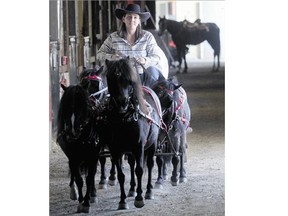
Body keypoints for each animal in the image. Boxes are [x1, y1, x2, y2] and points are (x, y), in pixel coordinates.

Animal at [56, 84, 100, 213]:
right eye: (66, 105)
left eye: (83, 105)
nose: (72, 131)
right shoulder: (73, 157)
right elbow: (79, 179)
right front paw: (81, 201)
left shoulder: (93, 156)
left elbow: (89, 178)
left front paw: (86, 202)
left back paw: (92, 194)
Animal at [102, 58, 163, 209]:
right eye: (111, 79)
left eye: (128, 80)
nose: (122, 102)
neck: (124, 119)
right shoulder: (116, 150)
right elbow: (121, 175)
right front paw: (122, 201)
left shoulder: (138, 146)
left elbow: (139, 170)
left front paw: (140, 198)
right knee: (131, 163)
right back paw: (131, 190)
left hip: (152, 145)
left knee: (149, 164)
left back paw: (148, 191)